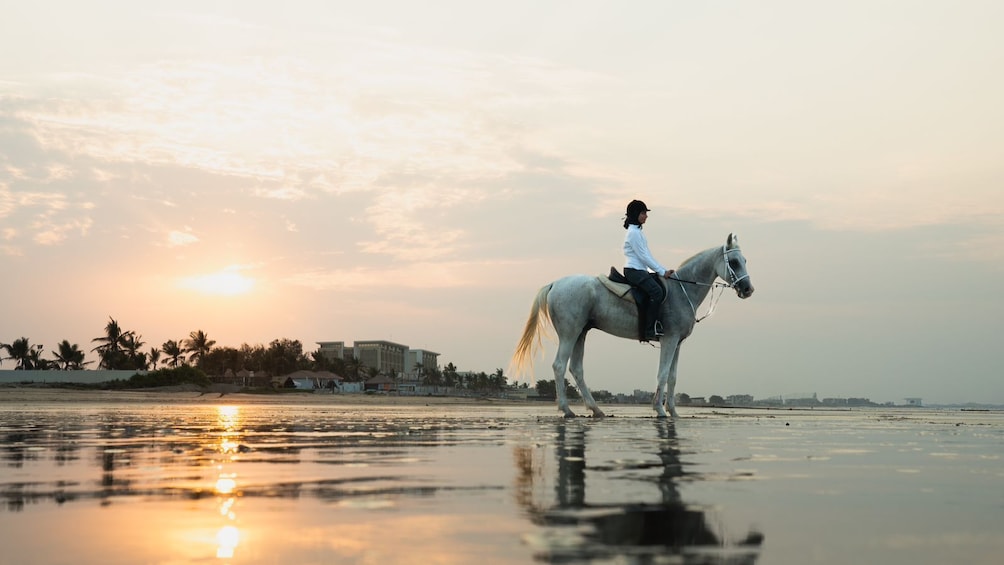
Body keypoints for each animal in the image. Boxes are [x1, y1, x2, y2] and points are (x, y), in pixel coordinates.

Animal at [511, 234, 754, 418]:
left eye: (744, 260)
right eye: (733, 262)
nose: (748, 289)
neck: (682, 290)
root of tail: (554, 284)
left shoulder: (677, 343)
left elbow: (673, 377)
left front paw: (673, 412)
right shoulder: (669, 340)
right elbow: (662, 374)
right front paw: (659, 410)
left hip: (581, 333)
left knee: (576, 369)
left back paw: (596, 410)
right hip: (569, 333)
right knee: (560, 366)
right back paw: (567, 410)